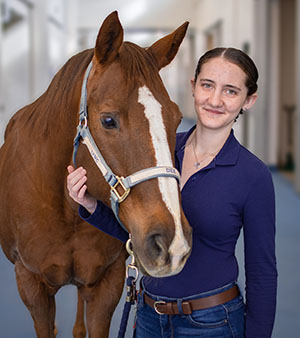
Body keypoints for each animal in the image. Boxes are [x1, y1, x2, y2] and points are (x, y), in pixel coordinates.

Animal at [0, 11, 192, 338]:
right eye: (108, 120)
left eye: (176, 118)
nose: (173, 242)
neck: (66, 211)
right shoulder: (30, 284)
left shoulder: (107, 283)